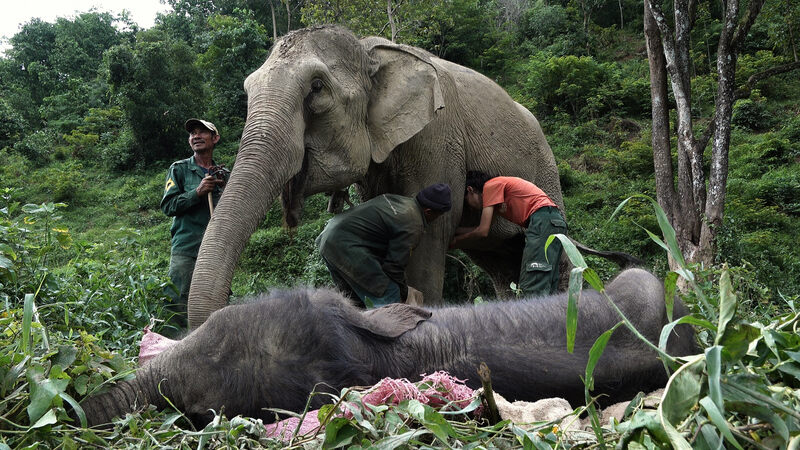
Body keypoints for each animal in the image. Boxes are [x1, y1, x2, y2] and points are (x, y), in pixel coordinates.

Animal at [188, 24, 564, 326]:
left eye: (316, 88)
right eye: (248, 90)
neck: (369, 50)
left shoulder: (437, 136)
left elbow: (433, 232)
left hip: (547, 173)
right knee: (500, 264)